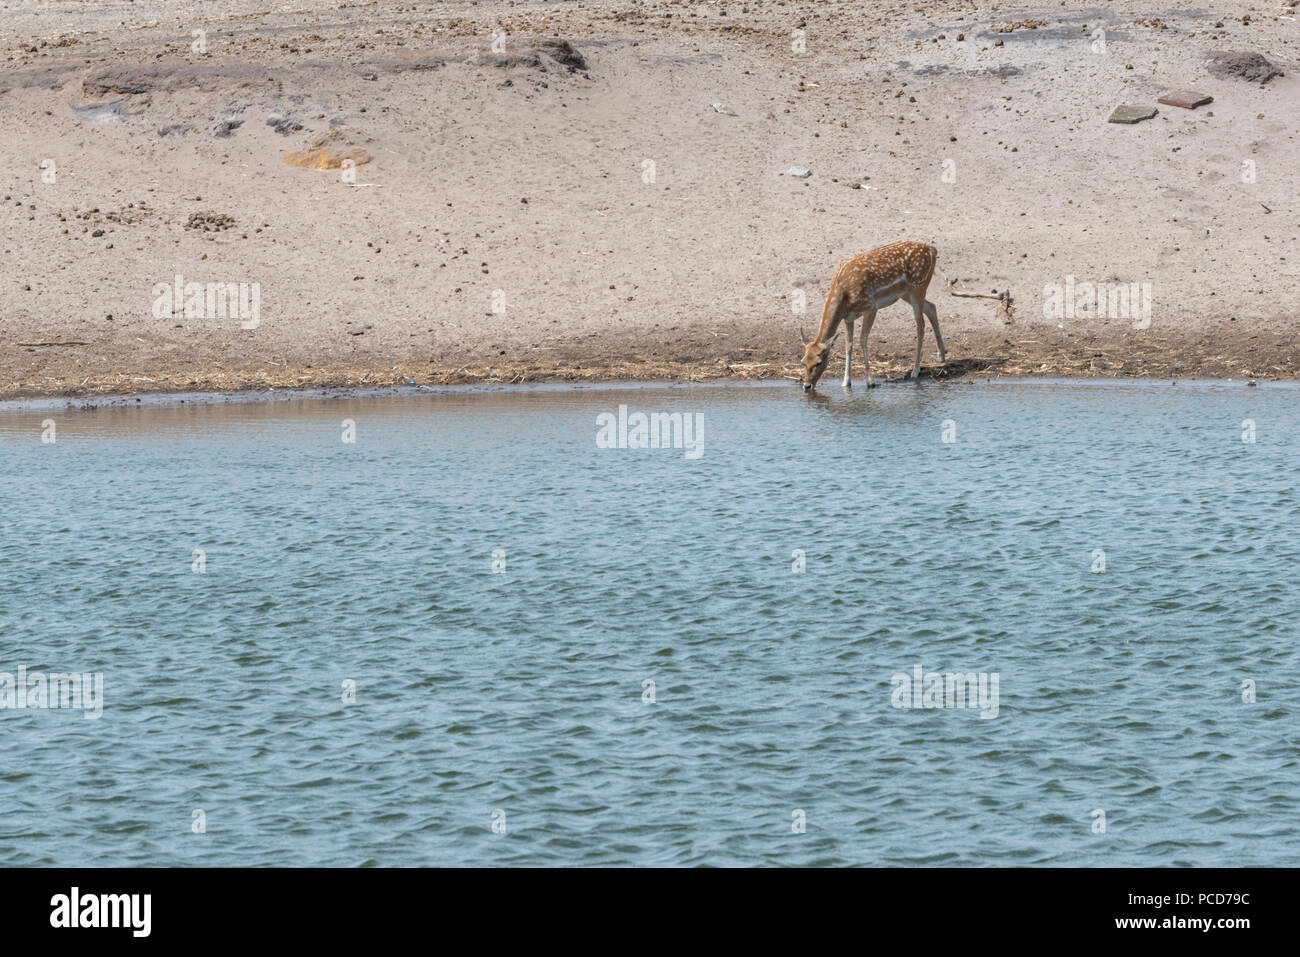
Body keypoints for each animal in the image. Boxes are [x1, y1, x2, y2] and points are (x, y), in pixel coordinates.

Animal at [795, 240, 951, 390]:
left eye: (819, 362)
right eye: (803, 362)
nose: (807, 385)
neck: (844, 294)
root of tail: (933, 250)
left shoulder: (871, 307)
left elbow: (862, 340)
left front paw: (871, 382)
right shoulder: (847, 317)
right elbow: (848, 345)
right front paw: (846, 383)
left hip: (918, 287)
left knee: (920, 325)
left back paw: (916, 370)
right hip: (905, 293)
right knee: (932, 307)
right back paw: (941, 356)